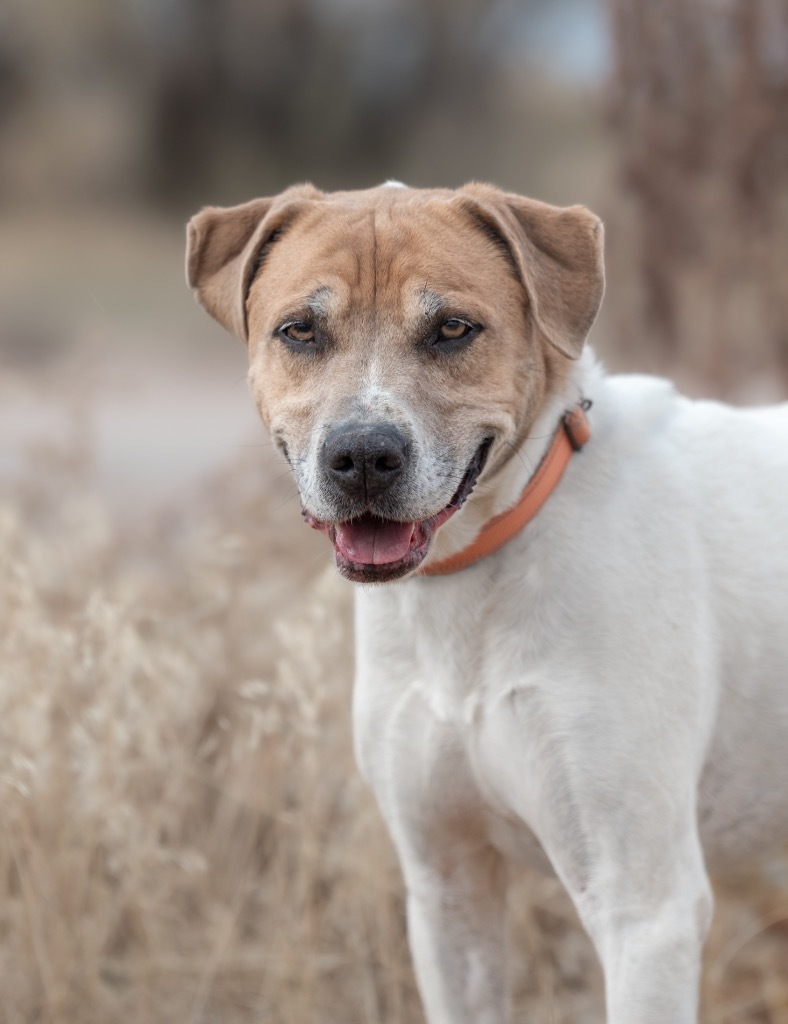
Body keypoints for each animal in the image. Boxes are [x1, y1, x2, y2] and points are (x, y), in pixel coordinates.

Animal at [186, 184, 788, 1024]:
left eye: (452, 329)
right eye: (300, 330)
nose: (362, 456)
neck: (471, 580)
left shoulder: (645, 912)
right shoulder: (447, 888)